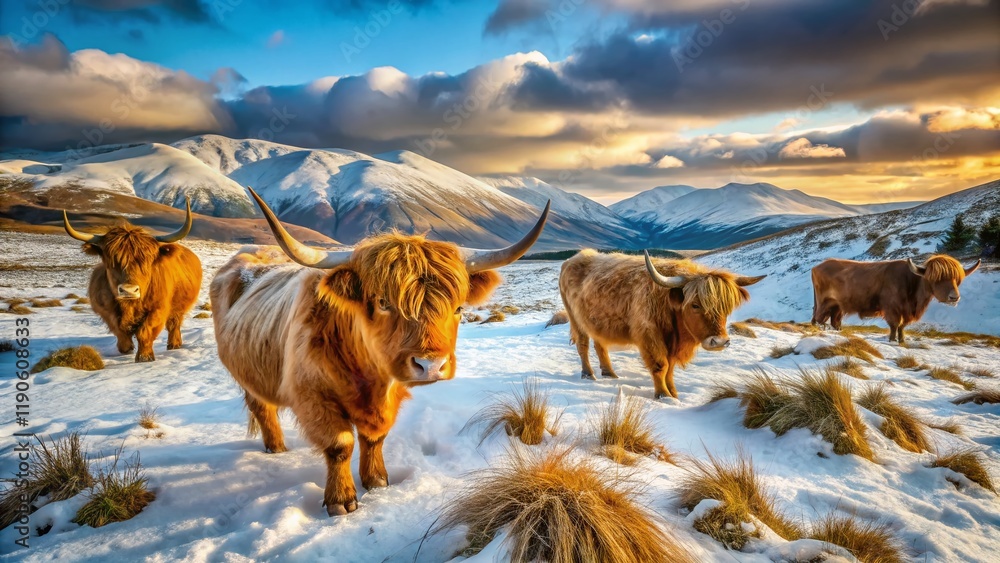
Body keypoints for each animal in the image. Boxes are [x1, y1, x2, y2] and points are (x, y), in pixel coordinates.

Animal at [62, 200, 202, 362]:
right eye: (111, 260)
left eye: (147, 260)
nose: (129, 290)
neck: (130, 305)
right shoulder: (105, 310)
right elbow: (118, 329)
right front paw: (126, 349)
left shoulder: (159, 309)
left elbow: (145, 331)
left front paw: (145, 356)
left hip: (179, 308)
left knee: (174, 324)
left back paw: (174, 345)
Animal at [210, 187, 549, 516]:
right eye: (384, 302)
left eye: (458, 308)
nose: (431, 365)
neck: (368, 378)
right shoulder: (313, 396)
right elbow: (340, 444)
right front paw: (341, 500)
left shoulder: (390, 394)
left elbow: (375, 437)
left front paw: (377, 481)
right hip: (246, 374)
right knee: (262, 407)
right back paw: (277, 447)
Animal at [559, 250, 765, 399]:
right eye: (695, 305)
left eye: (726, 308)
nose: (720, 342)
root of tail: (573, 259)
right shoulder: (650, 336)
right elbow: (660, 365)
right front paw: (663, 396)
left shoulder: (671, 343)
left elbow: (670, 369)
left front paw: (674, 393)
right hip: (575, 319)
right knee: (583, 345)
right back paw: (588, 374)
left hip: (596, 323)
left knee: (600, 344)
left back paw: (609, 373)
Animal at [811, 255, 981, 344]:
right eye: (937, 278)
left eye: (956, 279)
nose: (954, 297)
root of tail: (817, 267)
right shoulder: (892, 308)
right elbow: (895, 324)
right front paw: (892, 340)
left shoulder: (906, 311)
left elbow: (902, 326)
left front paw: (902, 340)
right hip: (823, 302)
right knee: (819, 318)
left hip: (837, 306)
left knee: (834, 320)